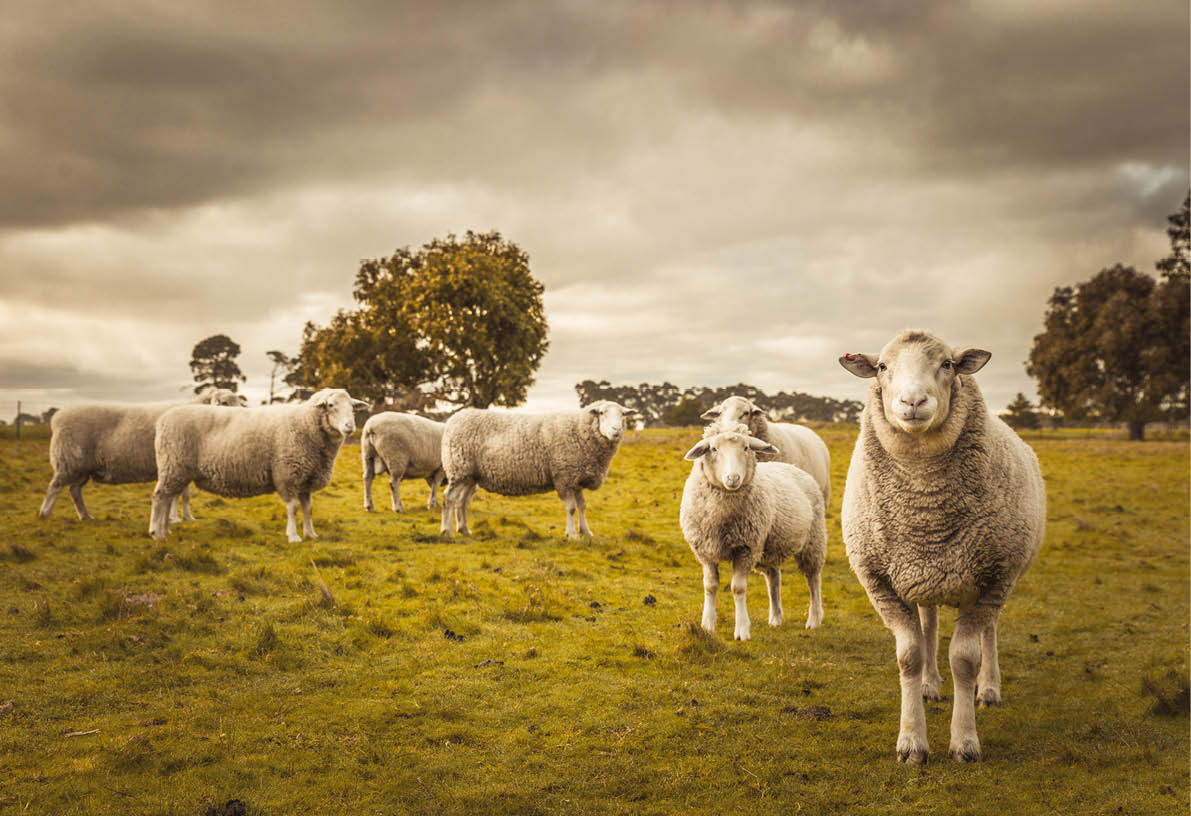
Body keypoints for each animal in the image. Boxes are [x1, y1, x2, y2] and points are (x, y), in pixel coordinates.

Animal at [38, 388, 246, 522]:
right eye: (224, 403)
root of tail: (57, 418)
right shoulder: (176, 463)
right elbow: (177, 494)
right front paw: (175, 518)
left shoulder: (182, 465)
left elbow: (184, 495)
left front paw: (187, 517)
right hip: (68, 461)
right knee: (54, 487)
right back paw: (44, 513)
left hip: (82, 467)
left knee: (74, 490)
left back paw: (85, 516)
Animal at [149, 388, 369, 543]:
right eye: (331, 405)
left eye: (352, 406)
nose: (350, 426)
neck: (306, 425)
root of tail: (162, 420)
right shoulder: (287, 474)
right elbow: (293, 508)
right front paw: (293, 536)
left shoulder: (306, 479)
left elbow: (308, 509)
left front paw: (311, 534)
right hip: (173, 466)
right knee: (159, 497)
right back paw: (156, 532)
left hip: (176, 470)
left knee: (167, 498)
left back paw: (165, 531)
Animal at [439, 401, 637, 539]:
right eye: (602, 413)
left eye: (623, 414)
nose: (616, 430)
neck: (579, 430)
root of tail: (454, 419)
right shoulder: (564, 477)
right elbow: (571, 508)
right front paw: (572, 534)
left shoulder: (577, 478)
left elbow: (582, 506)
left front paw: (586, 532)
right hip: (458, 469)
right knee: (449, 498)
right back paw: (447, 531)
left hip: (470, 476)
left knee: (462, 502)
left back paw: (464, 530)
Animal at [680, 425, 826, 640]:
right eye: (713, 449)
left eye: (746, 447)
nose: (733, 478)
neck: (721, 517)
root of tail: (793, 467)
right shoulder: (705, 551)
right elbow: (710, 586)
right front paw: (707, 626)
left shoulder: (746, 549)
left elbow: (738, 588)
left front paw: (742, 630)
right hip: (770, 546)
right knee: (774, 579)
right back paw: (776, 618)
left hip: (813, 540)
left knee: (813, 579)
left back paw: (814, 619)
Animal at [838, 329, 1045, 764]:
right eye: (882, 366)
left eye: (948, 364)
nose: (913, 402)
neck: (925, 512)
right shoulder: (881, 582)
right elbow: (909, 655)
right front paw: (911, 742)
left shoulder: (993, 578)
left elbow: (965, 659)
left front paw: (965, 741)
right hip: (924, 576)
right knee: (929, 623)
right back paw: (929, 684)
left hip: (992, 580)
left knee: (989, 631)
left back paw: (989, 688)